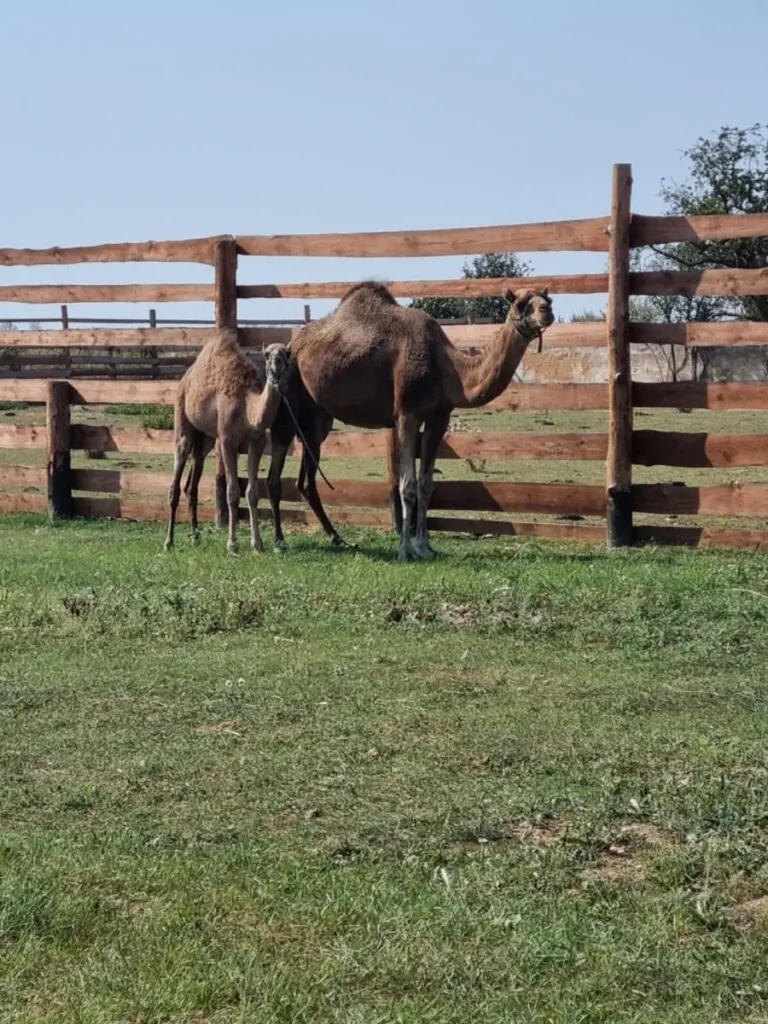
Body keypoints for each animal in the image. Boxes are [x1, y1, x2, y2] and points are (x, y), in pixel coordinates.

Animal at [165, 329, 290, 552]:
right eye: (267, 354)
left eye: (287, 353)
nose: (277, 362)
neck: (247, 408)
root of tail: (185, 379)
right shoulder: (226, 440)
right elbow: (232, 492)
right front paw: (232, 544)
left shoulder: (256, 442)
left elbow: (252, 492)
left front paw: (257, 543)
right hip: (182, 419)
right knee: (176, 479)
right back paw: (169, 542)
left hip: (205, 439)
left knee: (192, 483)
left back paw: (195, 536)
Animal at [268, 282, 552, 561]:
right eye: (520, 303)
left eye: (546, 298)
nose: (547, 311)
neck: (448, 368)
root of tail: (293, 344)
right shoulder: (406, 414)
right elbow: (407, 486)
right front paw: (405, 549)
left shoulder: (439, 416)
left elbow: (426, 485)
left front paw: (425, 546)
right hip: (287, 398)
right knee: (275, 472)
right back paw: (278, 541)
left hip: (317, 418)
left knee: (306, 478)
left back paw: (336, 538)